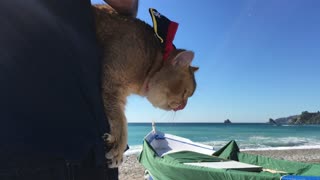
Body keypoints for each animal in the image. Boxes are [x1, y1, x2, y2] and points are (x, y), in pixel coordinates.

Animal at [92, 4, 199, 167]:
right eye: (185, 92)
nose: (184, 105)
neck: (150, 61)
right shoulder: (112, 83)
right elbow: (121, 120)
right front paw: (119, 144)